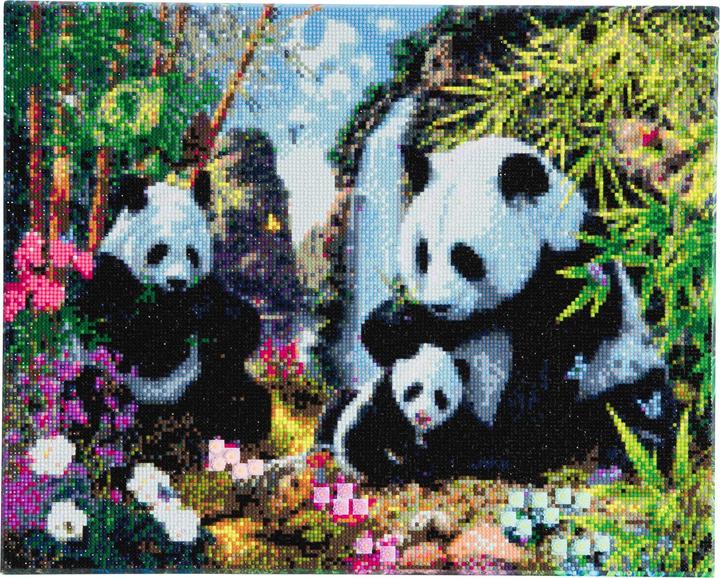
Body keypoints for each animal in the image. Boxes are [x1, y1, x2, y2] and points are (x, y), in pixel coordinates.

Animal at [73, 172, 270, 449]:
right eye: (159, 250)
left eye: (191, 252)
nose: (177, 282)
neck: (169, 299)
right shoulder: (111, 277)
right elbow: (139, 343)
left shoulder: (208, 284)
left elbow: (243, 324)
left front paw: (211, 318)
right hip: (109, 382)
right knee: (88, 398)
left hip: (202, 383)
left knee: (239, 395)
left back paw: (240, 426)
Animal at [332, 105, 678, 484]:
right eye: (422, 253)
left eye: (464, 256)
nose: (440, 304)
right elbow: (386, 340)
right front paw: (399, 320)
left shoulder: (575, 280)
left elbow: (548, 375)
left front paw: (505, 446)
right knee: (363, 417)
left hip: (621, 367)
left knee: (636, 412)